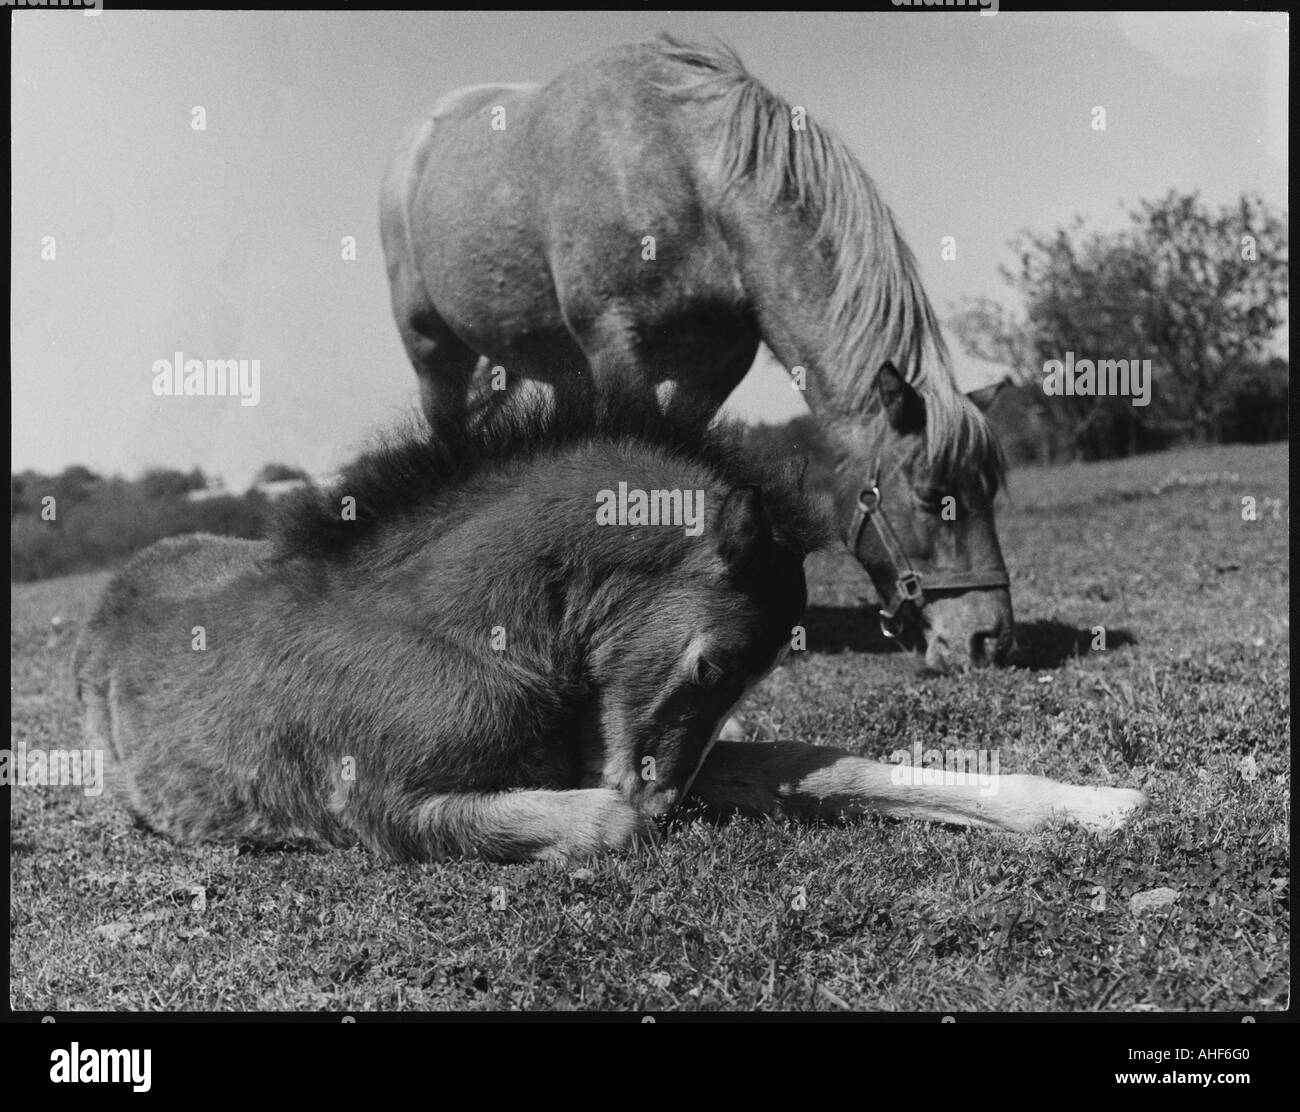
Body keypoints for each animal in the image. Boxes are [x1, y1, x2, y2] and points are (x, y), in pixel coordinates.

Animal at [73, 394, 1144, 863]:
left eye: (741, 679)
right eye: (713, 666)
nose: (674, 800)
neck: (476, 635)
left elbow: (830, 765)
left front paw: (1101, 805)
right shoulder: (384, 807)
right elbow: (607, 819)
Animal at [380, 35, 1013, 675]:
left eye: (989, 492)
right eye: (932, 498)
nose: (988, 640)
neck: (690, 178)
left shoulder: (710, 371)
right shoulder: (615, 343)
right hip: (433, 350)